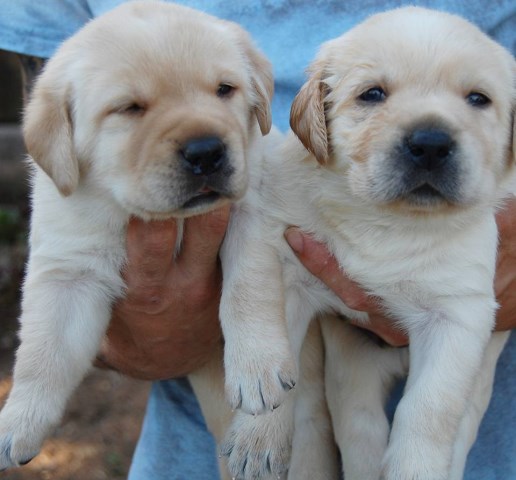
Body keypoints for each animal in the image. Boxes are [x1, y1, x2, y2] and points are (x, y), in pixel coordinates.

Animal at [0, 0, 274, 472]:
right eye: (129, 108)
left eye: (225, 89)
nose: (207, 151)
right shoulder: (69, 270)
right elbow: (42, 352)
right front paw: (18, 421)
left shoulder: (254, 215)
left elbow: (248, 292)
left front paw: (256, 369)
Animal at [222, 7, 516, 480]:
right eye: (372, 94)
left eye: (478, 99)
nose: (430, 143)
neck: (386, 218)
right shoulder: (288, 254)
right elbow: (262, 312)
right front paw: (258, 431)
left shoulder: (460, 316)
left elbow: (429, 408)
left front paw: (416, 469)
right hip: (350, 370)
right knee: (361, 432)